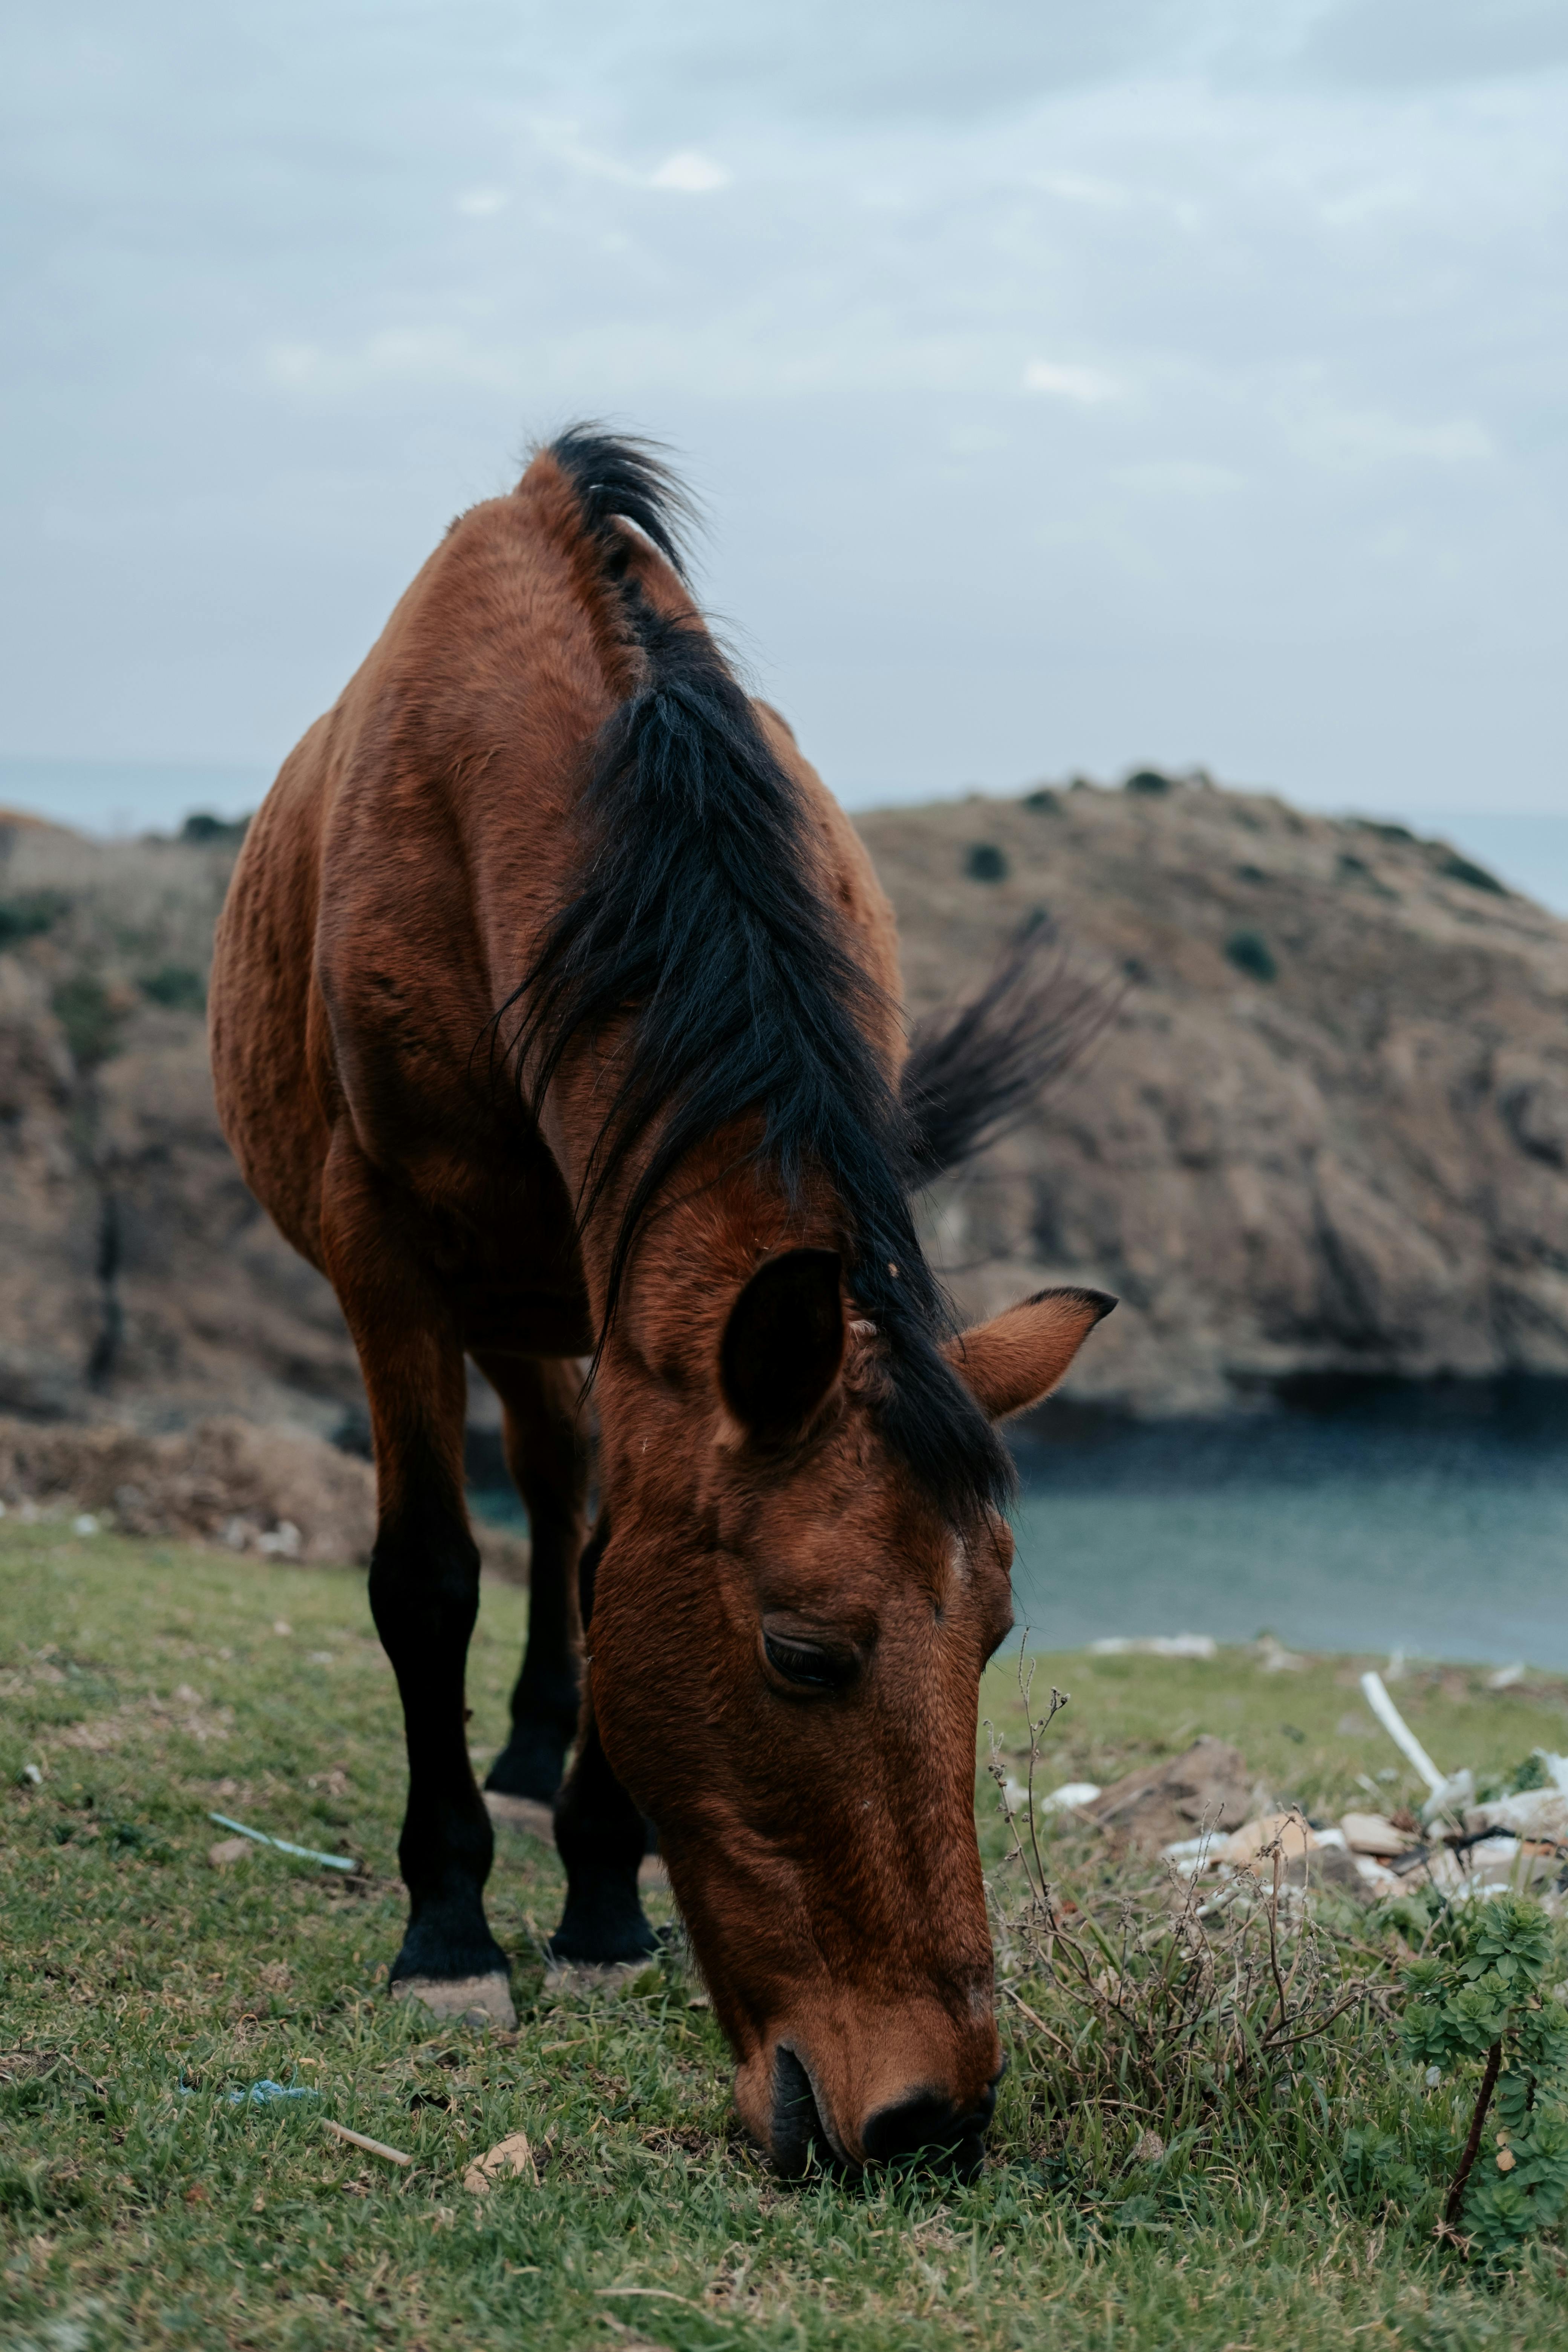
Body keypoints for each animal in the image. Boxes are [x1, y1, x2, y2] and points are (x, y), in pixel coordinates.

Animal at [208, 429, 1113, 2176]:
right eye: (803, 1655)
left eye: (990, 1640)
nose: (930, 2121)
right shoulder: (385, 1261)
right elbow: (428, 1577)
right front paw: (450, 1938)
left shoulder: (630, 1297)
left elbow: (601, 1553)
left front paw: (601, 1903)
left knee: (563, 1491)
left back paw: (540, 1749)